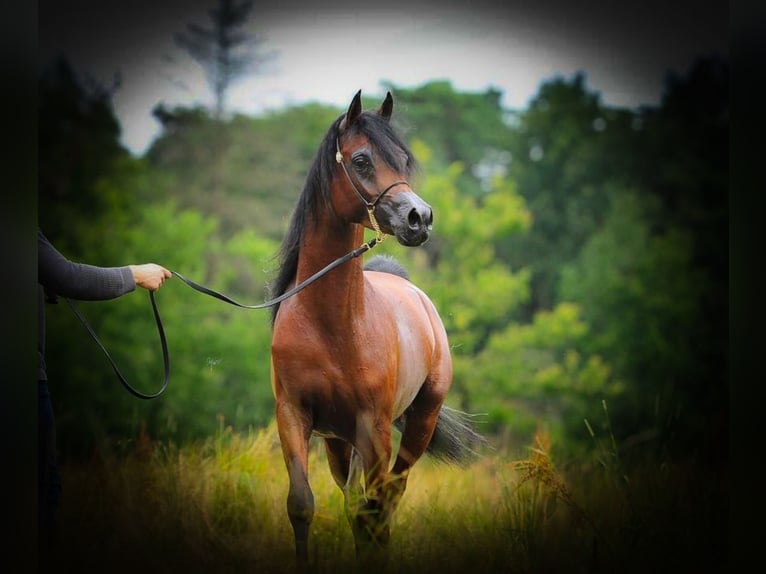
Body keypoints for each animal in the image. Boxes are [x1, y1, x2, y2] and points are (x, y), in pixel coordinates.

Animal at [270, 90, 484, 568]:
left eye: (403, 160)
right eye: (362, 160)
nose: (419, 218)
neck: (331, 324)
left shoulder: (376, 431)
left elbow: (373, 511)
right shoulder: (294, 416)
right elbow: (302, 505)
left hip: (417, 426)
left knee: (385, 502)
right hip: (338, 443)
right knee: (360, 503)